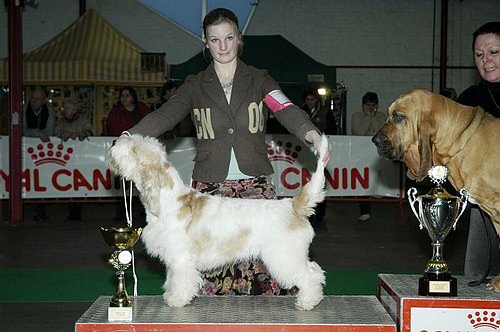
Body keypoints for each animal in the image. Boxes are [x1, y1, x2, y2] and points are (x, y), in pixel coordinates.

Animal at [107, 134, 330, 310]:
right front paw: (171, 295)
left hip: (285, 256)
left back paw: (307, 302)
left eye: (134, 149)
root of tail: (293, 205)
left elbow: (182, 280)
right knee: (315, 271)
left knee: (310, 275)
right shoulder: (173, 258)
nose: (114, 141)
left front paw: (177, 300)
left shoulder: (181, 258)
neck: (168, 201)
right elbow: (172, 278)